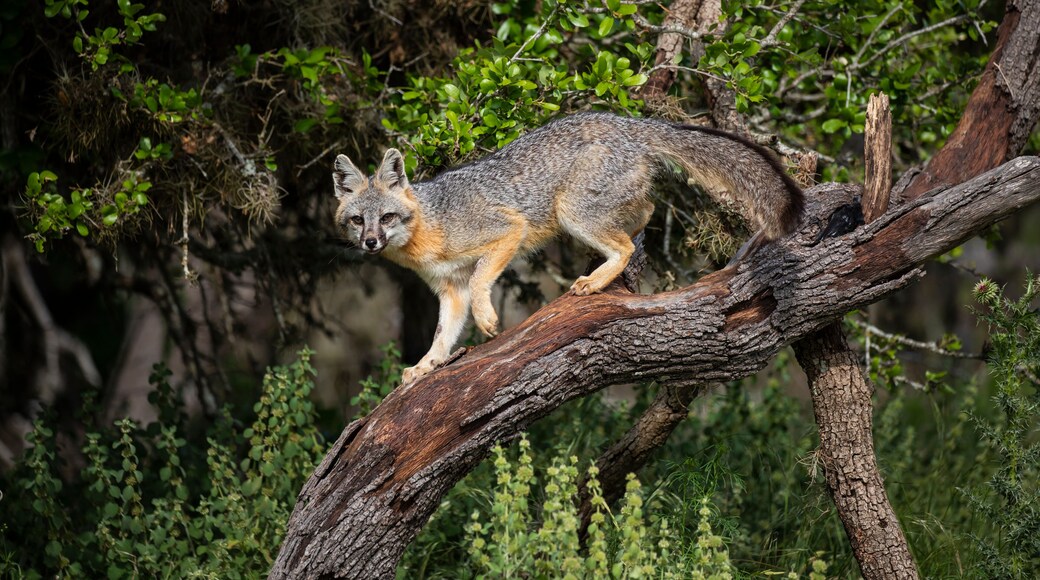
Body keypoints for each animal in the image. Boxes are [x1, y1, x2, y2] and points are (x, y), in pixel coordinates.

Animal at [333, 112, 804, 384]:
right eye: (358, 221)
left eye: (386, 218)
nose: (370, 242)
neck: (430, 227)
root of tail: (632, 122)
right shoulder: (450, 291)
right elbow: (442, 336)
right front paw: (427, 366)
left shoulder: (507, 229)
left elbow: (483, 277)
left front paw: (488, 320)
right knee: (647, 208)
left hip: (572, 212)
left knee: (625, 242)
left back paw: (596, 282)